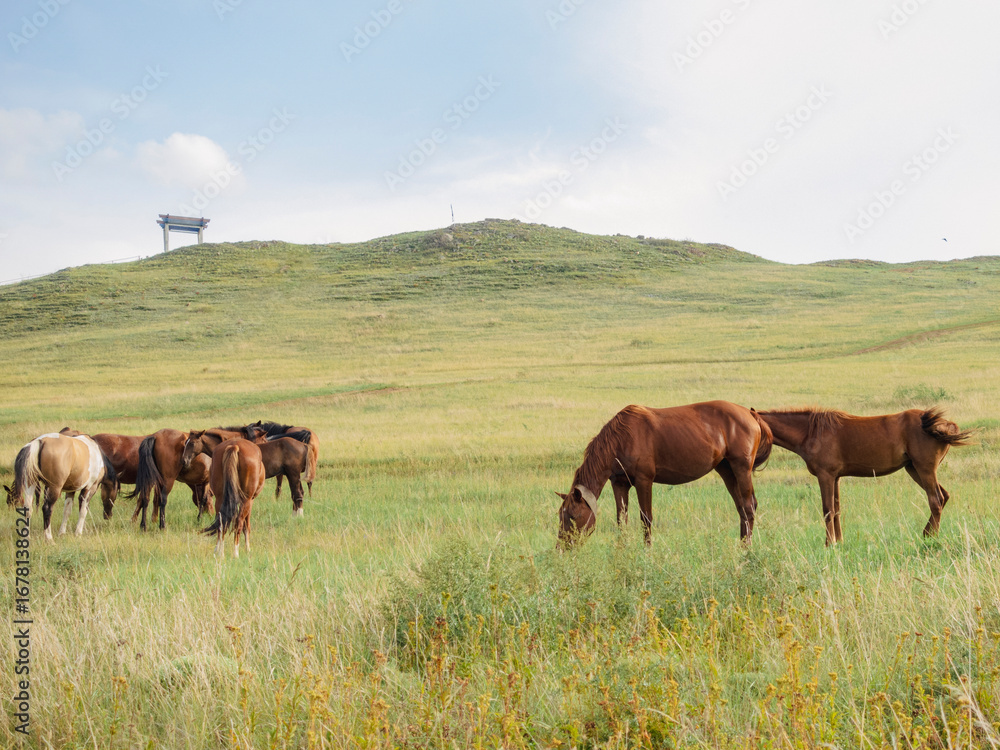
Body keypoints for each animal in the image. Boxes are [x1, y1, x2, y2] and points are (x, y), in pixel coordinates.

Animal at [557, 401, 773, 546]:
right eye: (561, 515)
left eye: (572, 516)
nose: (562, 547)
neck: (621, 439)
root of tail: (750, 414)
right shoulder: (619, 483)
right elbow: (622, 519)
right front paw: (622, 551)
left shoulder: (644, 481)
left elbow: (646, 519)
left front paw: (647, 552)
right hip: (727, 470)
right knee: (742, 508)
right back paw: (741, 545)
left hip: (741, 468)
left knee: (748, 507)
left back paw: (747, 549)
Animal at [755, 407, 973, 544]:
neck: (812, 432)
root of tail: (942, 425)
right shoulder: (835, 478)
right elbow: (837, 509)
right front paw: (839, 541)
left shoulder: (825, 476)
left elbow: (827, 510)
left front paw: (829, 543)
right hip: (914, 470)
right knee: (943, 497)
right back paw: (926, 533)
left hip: (924, 470)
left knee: (935, 500)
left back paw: (932, 538)